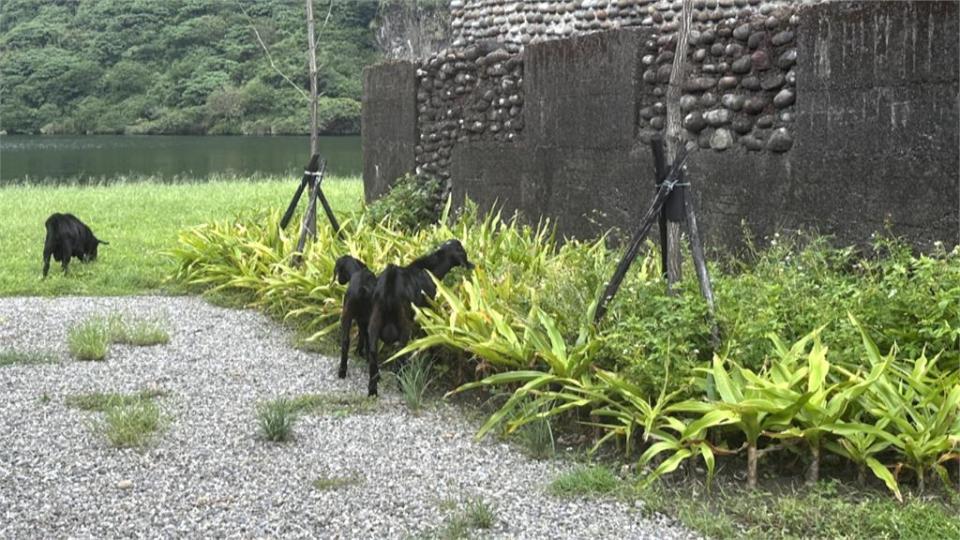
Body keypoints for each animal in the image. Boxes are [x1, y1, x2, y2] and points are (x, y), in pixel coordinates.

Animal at [366, 240, 474, 396]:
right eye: (463, 251)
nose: (472, 265)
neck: (429, 270)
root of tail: (389, 282)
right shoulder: (428, 310)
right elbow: (429, 333)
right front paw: (435, 359)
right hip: (404, 325)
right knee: (400, 353)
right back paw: (402, 384)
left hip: (374, 322)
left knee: (373, 352)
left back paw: (373, 388)